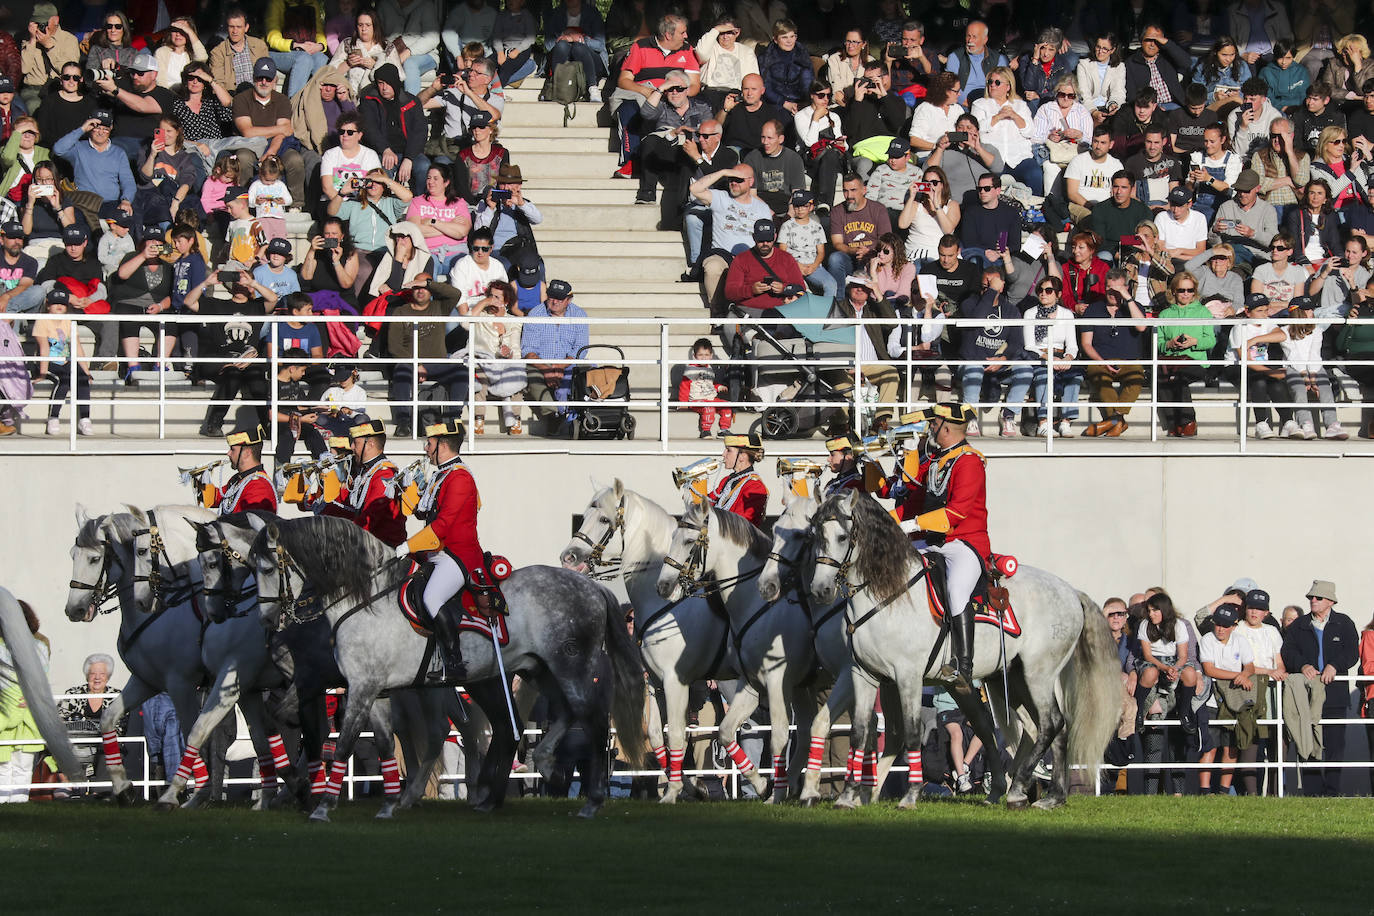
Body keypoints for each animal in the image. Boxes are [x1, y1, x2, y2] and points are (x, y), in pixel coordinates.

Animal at [244, 516, 645, 823]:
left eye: (267, 568)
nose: (266, 621)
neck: (364, 601)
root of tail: (590, 586)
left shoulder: (359, 688)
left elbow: (343, 743)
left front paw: (323, 806)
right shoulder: (373, 690)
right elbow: (385, 741)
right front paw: (388, 804)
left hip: (570, 666)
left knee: (592, 719)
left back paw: (590, 800)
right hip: (536, 670)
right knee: (549, 716)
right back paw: (526, 775)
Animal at [563, 480, 769, 802]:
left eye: (605, 520)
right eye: (583, 516)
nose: (568, 557)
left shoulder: (676, 682)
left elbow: (676, 735)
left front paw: (673, 791)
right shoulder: (654, 684)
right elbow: (657, 736)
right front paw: (688, 785)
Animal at [656, 502, 818, 802]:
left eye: (688, 541)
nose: (663, 585)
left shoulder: (778, 682)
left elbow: (779, 736)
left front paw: (773, 792)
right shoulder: (753, 683)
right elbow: (726, 731)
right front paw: (765, 785)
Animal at [807, 494, 1121, 807]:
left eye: (842, 537)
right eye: (815, 536)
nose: (820, 591)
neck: (889, 595)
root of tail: (1071, 592)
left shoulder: (907, 676)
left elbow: (911, 732)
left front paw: (910, 795)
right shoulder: (864, 675)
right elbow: (859, 733)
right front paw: (848, 796)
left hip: (1038, 675)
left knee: (1051, 723)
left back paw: (1028, 788)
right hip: (1014, 679)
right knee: (1041, 729)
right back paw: (1038, 793)